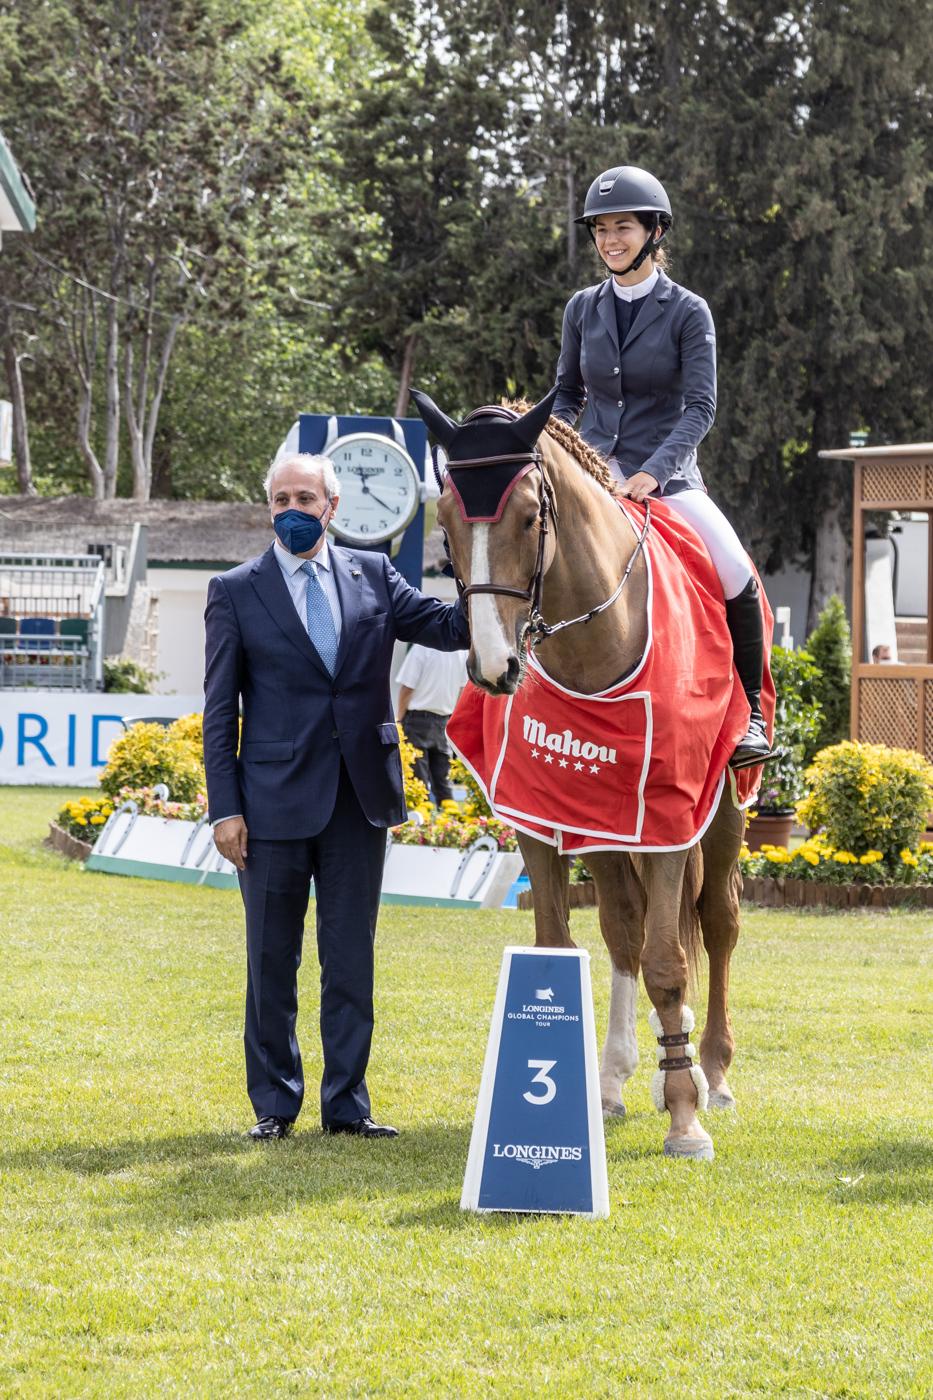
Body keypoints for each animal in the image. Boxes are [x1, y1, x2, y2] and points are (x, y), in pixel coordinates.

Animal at [411, 383, 745, 1159]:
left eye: (530, 516)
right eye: (445, 522)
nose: (494, 667)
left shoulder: (670, 816)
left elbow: (668, 962)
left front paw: (684, 1118)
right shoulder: (542, 815)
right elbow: (564, 946)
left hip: (722, 811)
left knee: (715, 923)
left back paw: (709, 1073)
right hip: (604, 823)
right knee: (625, 928)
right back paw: (618, 1077)